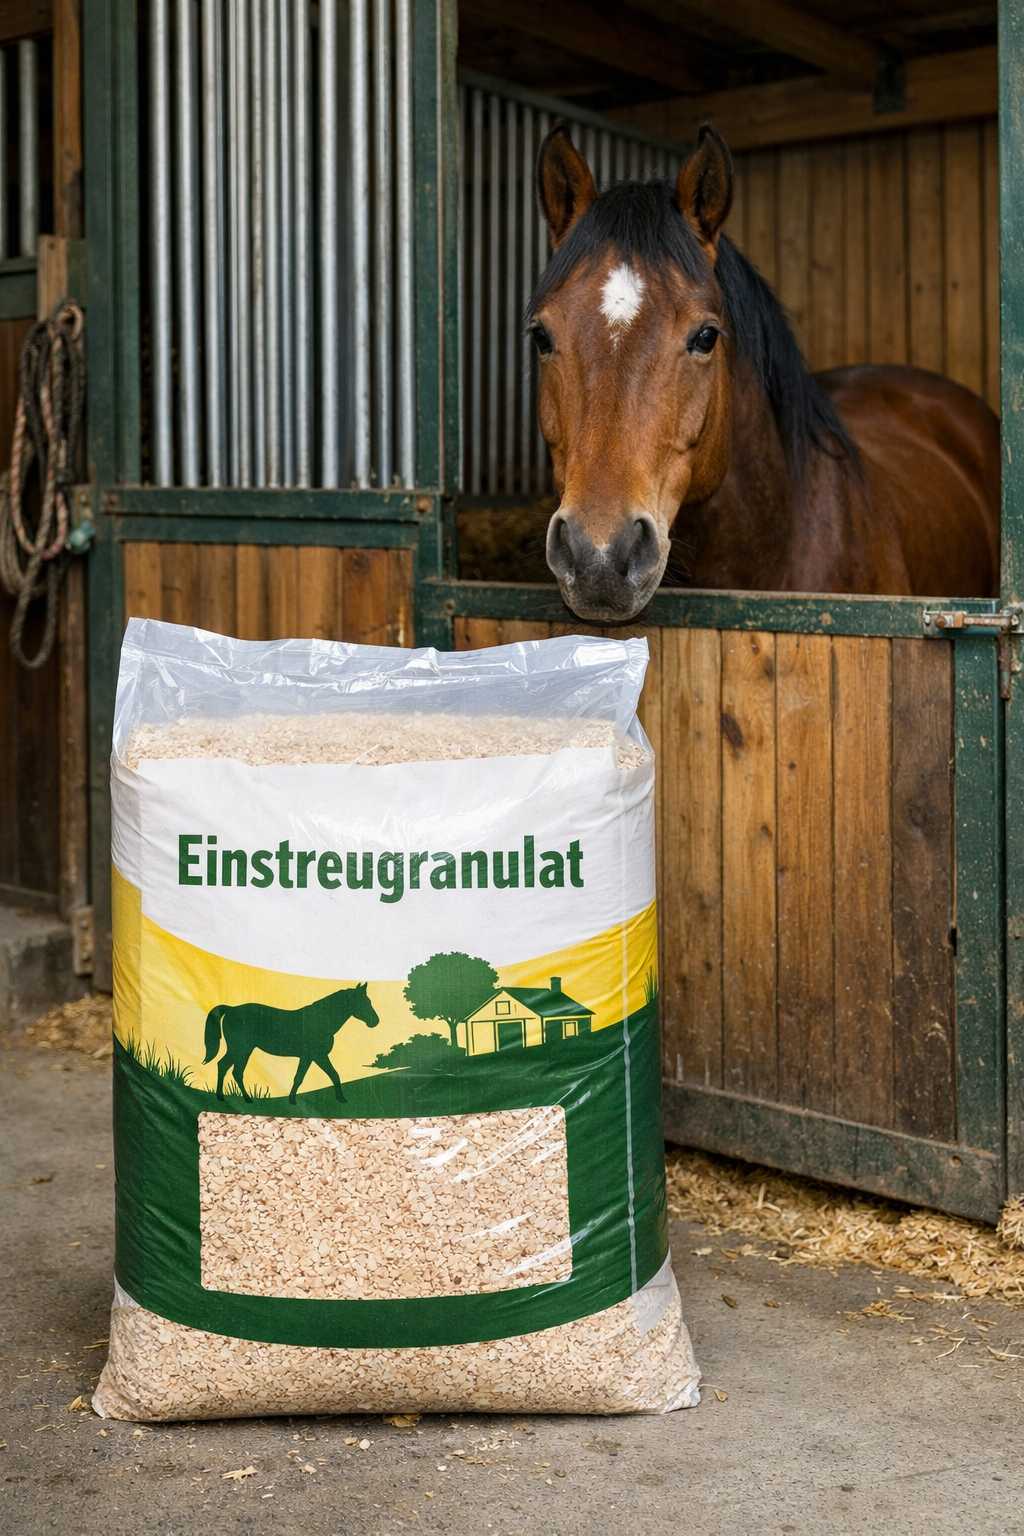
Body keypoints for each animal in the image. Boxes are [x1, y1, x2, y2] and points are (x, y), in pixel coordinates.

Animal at [202, 982, 379, 1103]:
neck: (320, 1021)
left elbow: (308, 1076)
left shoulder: (310, 1057)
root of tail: (231, 1009)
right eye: (364, 1002)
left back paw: (224, 1097)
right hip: (241, 1049)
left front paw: (292, 1100)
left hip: (241, 1050)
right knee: (233, 1070)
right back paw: (243, 1099)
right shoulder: (316, 1056)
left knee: (226, 1067)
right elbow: (326, 1075)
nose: (375, 1021)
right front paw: (341, 1099)